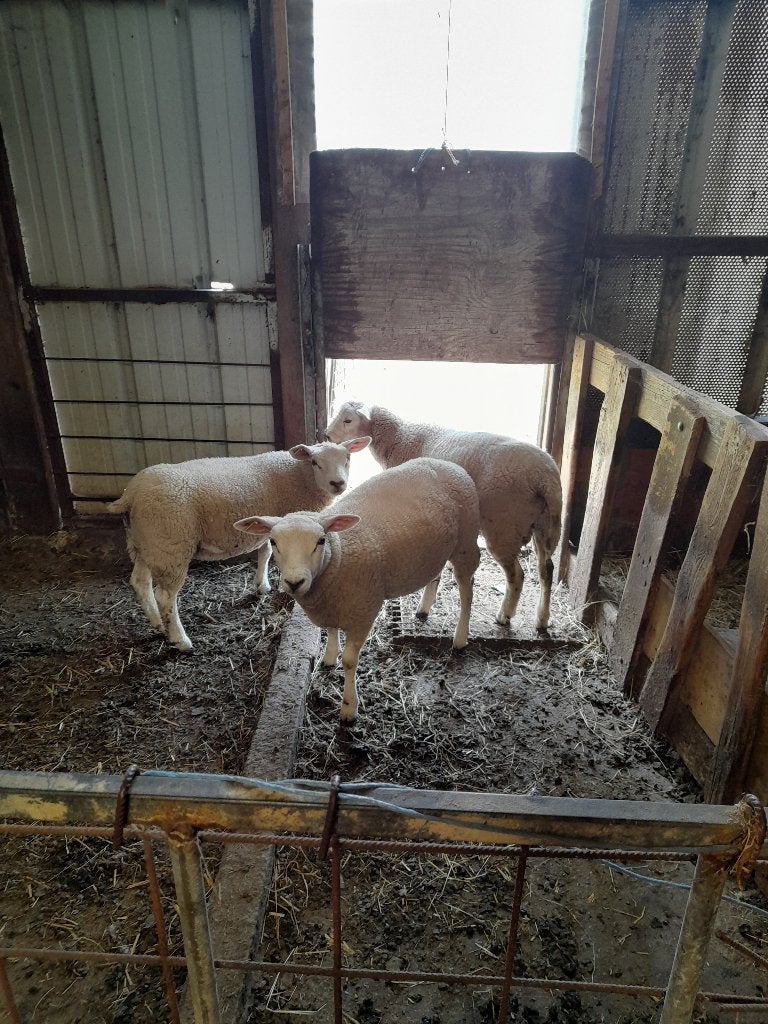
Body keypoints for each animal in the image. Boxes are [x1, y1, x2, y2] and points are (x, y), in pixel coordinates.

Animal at [108, 437, 371, 651]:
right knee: (165, 596)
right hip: (169, 544)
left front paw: (262, 586)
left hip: (144, 543)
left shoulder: (269, 524)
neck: (300, 476)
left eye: (347, 458)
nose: (338, 483)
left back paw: (157, 624)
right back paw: (180, 640)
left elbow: (265, 552)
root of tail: (131, 493)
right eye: (315, 462)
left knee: (140, 582)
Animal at [233, 457, 481, 722]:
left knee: (467, 590)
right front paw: (329, 658)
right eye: (273, 541)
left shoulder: (363, 611)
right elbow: (331, 630)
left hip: (466, 543)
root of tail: (446, 463)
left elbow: (350, 661)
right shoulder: (331, 603)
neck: (337, 555)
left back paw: (460, 637)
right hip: (437, 549)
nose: (294, 582)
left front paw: (349, 708)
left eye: (321, 541)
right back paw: (424, 609)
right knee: (436, 574)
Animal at [326, 401, 562, 632]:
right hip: (543, 525)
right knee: (546, 570)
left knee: (517, 575)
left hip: (504, 525)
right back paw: (542, 619)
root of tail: (546, 476)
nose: (327, 436)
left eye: (348, 420)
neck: (401, 438)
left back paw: (505, 615)